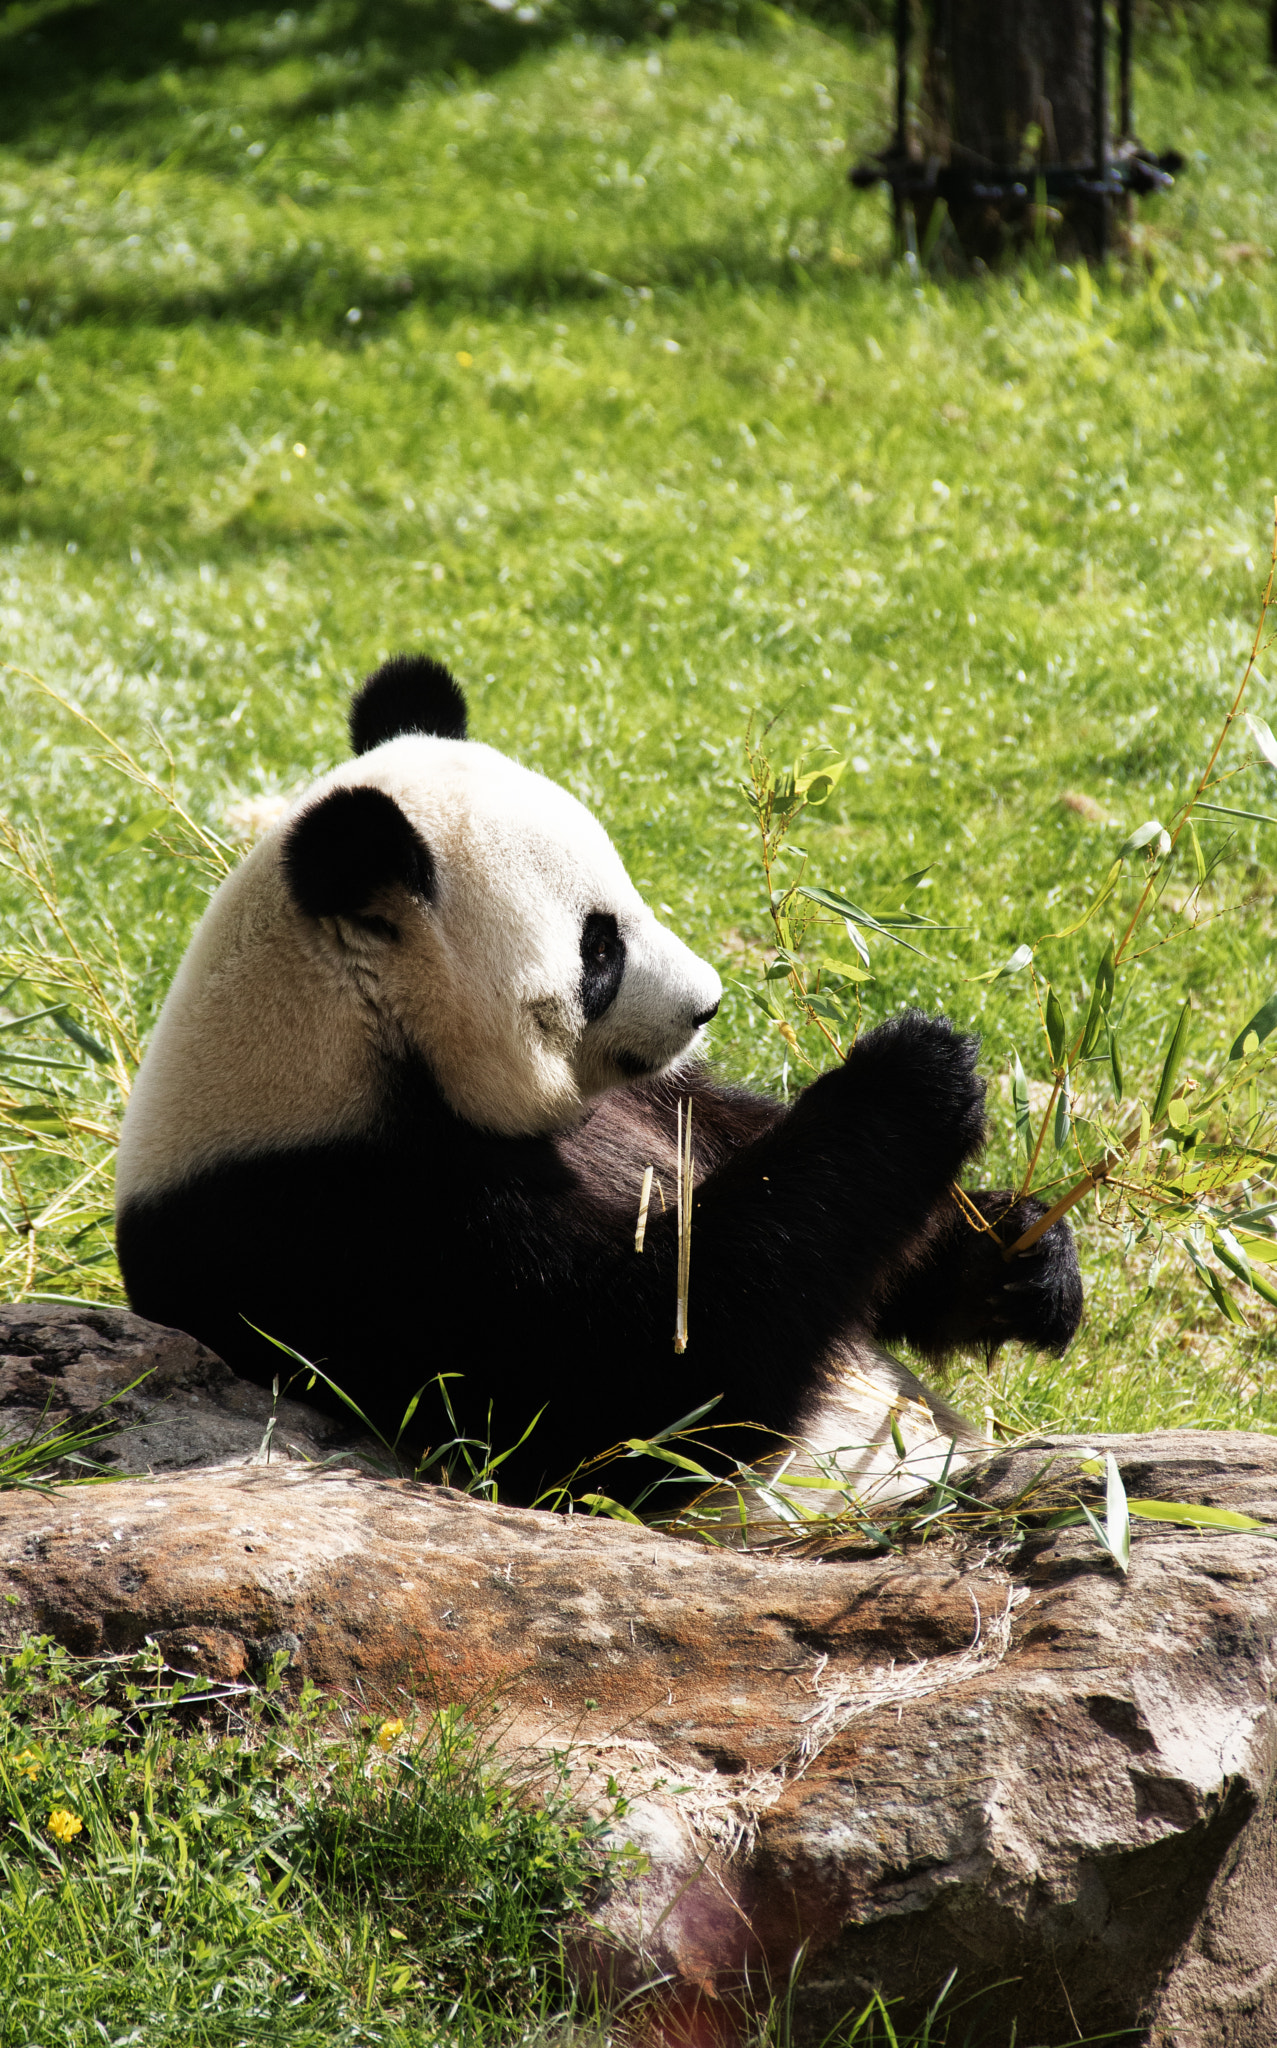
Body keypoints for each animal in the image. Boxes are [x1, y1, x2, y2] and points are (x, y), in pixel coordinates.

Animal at [114, 655, 1082, 1511]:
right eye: (599, 951)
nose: (706, 1005)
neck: (356, 1050)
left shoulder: (659, 1100)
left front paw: (1021, 1251)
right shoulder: (339, 1222)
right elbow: (624, 1397)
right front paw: (918, 1073)